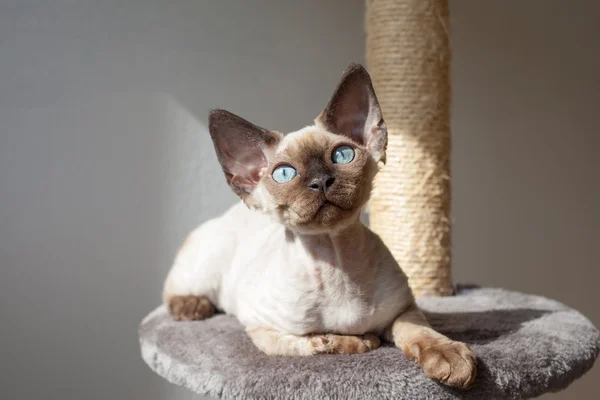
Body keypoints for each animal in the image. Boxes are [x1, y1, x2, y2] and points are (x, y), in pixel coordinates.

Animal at [162, 64, 476, 390]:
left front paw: (450, 359)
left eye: (342, 155)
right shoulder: (261, 326)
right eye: (284, 174)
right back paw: (191, 307)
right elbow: (317, 342)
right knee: (174, 288)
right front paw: (362, 341)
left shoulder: (404, 309)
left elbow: (421, 332)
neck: (336, 262)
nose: (320, 181)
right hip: (206, 268)